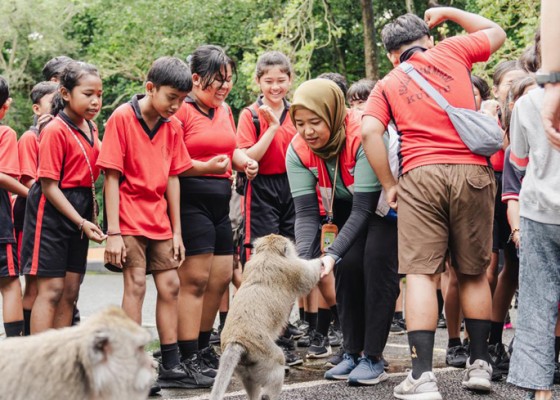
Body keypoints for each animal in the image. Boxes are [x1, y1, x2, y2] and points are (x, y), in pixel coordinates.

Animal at [210, 234, 324, 400]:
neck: (268, 253)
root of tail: (236, 342)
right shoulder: (292, 270)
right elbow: (309, 277)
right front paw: (322, 262)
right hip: (263, 354)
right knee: (278, 362)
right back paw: (268, 395)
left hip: (245, 365)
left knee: (250, 381)